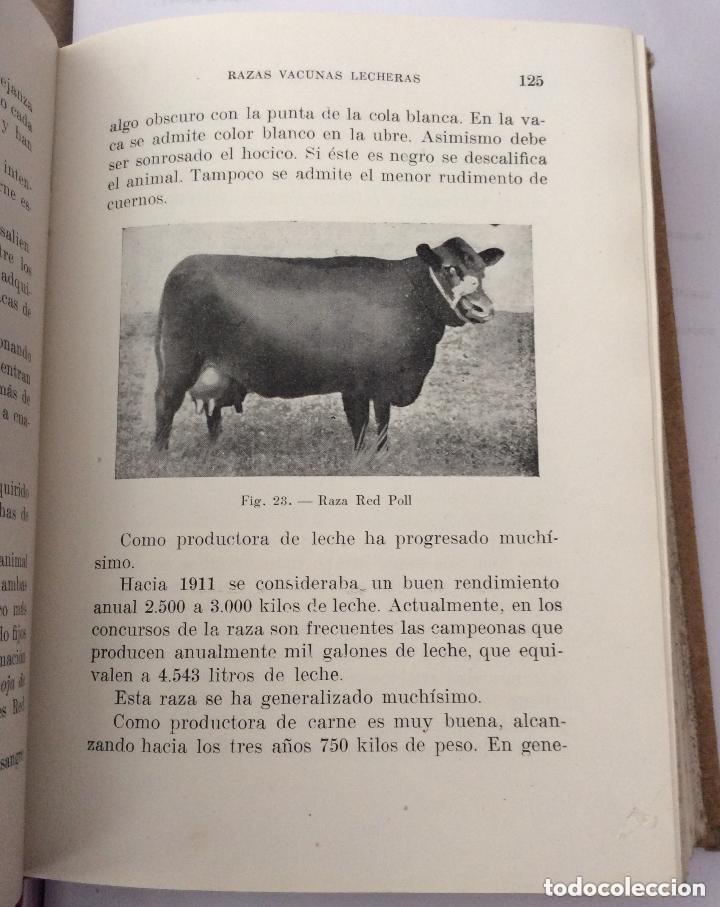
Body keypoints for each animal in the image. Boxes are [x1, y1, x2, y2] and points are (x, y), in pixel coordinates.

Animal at [153, 237, 504, 456]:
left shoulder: (372, 384)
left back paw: (215, 451)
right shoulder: (366, 383)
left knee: (212, 413)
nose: (483, 308)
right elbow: (365, 423)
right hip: (180, 362)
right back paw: (160, 455)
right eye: (449, 269)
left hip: (217, 371)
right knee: (166, 403)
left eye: (482, 270)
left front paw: (377, 456)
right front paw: (366, 459)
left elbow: (378, 422)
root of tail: (183, 265)